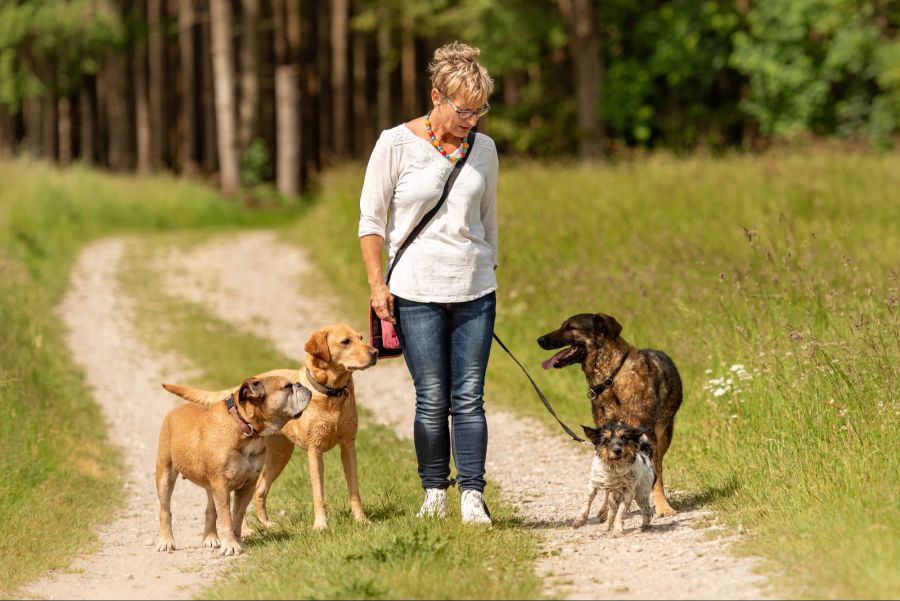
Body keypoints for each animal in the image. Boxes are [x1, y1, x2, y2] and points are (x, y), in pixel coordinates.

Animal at [155, 372, 310, 556]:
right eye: (287, 387)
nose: (301, 385)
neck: (246, 429)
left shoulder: (247, 485)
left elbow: (237, 515)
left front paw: (237, 541)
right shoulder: (221, 486)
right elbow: (226, 518)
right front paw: (230, 545)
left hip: (210, 484)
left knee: (210, 509)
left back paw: (210, 538)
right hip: (165, 474)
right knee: (165, 509)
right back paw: (166, 541)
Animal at [163, 324, 378, 528]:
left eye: (361, 338)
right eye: (346, 342)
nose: (375, 352)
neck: (332, 395)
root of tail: (239, 387)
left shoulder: (348, 446)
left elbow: (354, 489)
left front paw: (361, 520)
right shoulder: (314, 451)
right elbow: (318, 494)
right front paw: (321, 525)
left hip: (280, 455)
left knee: (259, 490)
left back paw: (265, 524)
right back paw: (246, 530)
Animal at [536, 312, 684, 512]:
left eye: (570, 327)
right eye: (563, 325)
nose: (540, 340)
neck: (610, 378)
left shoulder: (647, 434)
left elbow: (656, 476)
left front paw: (663, 507)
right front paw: (606, 509)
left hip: (663, 434)